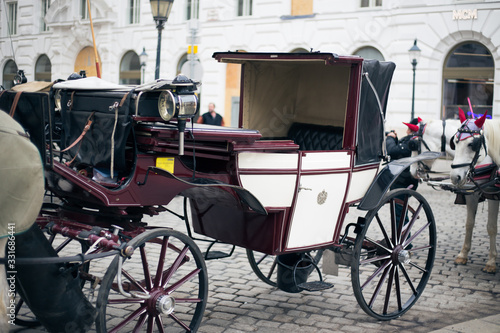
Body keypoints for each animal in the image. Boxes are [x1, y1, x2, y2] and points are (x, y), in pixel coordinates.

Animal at [450, 109, 500, 272]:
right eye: (455, 142)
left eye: (472, 144)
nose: (455, 177)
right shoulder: (474, 194)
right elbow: (470, 223)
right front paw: (463, 254)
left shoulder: (493, 195)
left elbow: (492, 227)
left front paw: (491, 262)